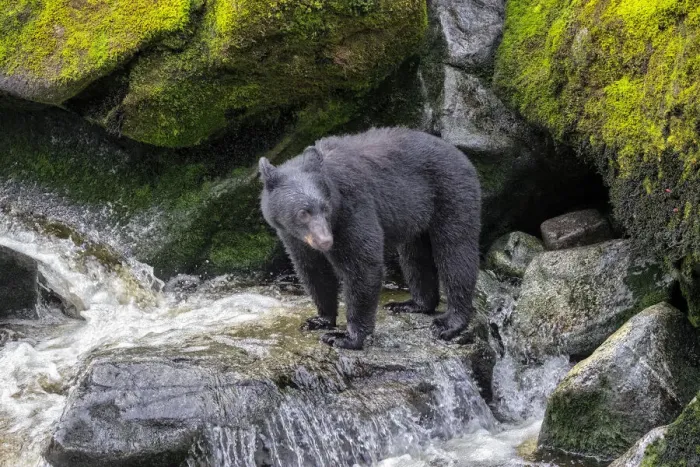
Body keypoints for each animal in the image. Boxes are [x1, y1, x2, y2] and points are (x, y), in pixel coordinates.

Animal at [259, 127, 481, 350]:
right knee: (415, 256)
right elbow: (312, 269)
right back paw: (413, 304)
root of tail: (460, 154)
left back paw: (450, 323)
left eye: (326, 208)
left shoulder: (353, 205)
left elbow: (362, 264)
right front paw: (320, 319)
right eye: (303, 213)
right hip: (419, 216)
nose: (325, 242)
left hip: (451, 192)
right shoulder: (292, 236)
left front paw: (345, 337)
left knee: (455, 252)